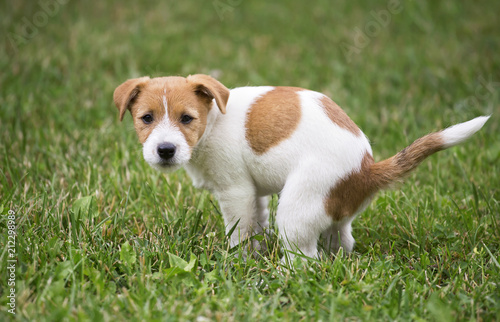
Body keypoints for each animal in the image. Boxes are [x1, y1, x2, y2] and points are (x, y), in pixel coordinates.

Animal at [113, 74, 488, 260]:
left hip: (296, 209)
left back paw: (283, 274)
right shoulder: (253, 194)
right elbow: (256, 223)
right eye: (146, 118)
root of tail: (366, 169)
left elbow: (240, 232)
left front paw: (238, 263)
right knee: (341, 241)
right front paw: (255, 254)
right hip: (331, 212)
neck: (214, 120)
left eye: (187, 118)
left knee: (306, 259)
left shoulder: (235, 192)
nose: (165, 150)